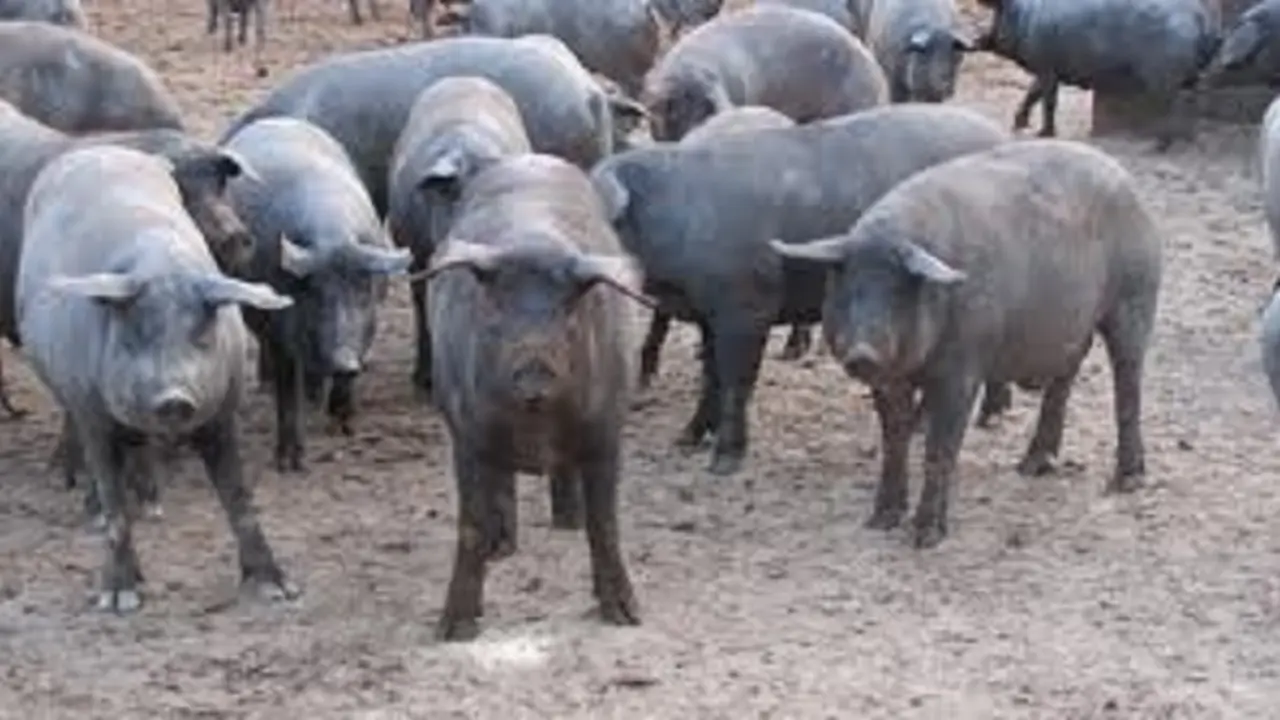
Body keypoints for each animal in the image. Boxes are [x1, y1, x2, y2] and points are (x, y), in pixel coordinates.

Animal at [17, 144, 298, 612]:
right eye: (133, 338)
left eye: (201, 336)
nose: (173, 397)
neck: (161, 267)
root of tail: (95, 149)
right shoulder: (93, 413)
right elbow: (115, 506)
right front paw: (119, 600)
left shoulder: (223, 412)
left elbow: (239, 498)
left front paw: (279, 591)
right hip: (67, 386)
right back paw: (100, 512)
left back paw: (152, 505)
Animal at [222, 117, 412, 472]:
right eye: (315, 292)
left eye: (363, 291)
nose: (345, 361)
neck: (334, 235)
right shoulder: (279, 328)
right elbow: (287, 389)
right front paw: (289, 463)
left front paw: (343, 426)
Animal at [418, 153, 650, 641]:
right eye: (495, 310)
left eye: (568, 312)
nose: (533, 369)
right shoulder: (467, 434)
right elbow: (469, 524)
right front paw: (454, 630)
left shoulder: (607, 432)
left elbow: (605, 523)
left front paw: (625, 616)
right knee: (500, 491)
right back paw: (501, 548)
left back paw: (566, 521)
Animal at [771, 139, 1161, 548]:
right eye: (847, 289)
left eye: (897, 292)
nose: (862, 353)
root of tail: (1125, 178)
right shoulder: (890, 380)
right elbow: (894, 439)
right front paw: (880, 521)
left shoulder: (963, 367)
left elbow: (940, 447)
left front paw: (926, 537)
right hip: (1072, 327)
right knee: (1066, 376)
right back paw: (1031, 466)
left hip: (1136, 294)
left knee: (1128, 379)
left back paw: (1127, 481)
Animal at [973, 0, 1218, 150]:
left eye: (998, 13)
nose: (975, 40)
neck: (1026, 18)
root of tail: (1199, 17)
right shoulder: (1048, 69)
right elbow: (1033, 93)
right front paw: (1017, 126)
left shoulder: (1047, 66)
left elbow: (1048, 100)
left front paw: (1043, 134)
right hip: (1187, 75)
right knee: (1194, 98)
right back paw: (1190, 139)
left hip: (1163, 74)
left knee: (1172, 104)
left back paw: (1158, 146)